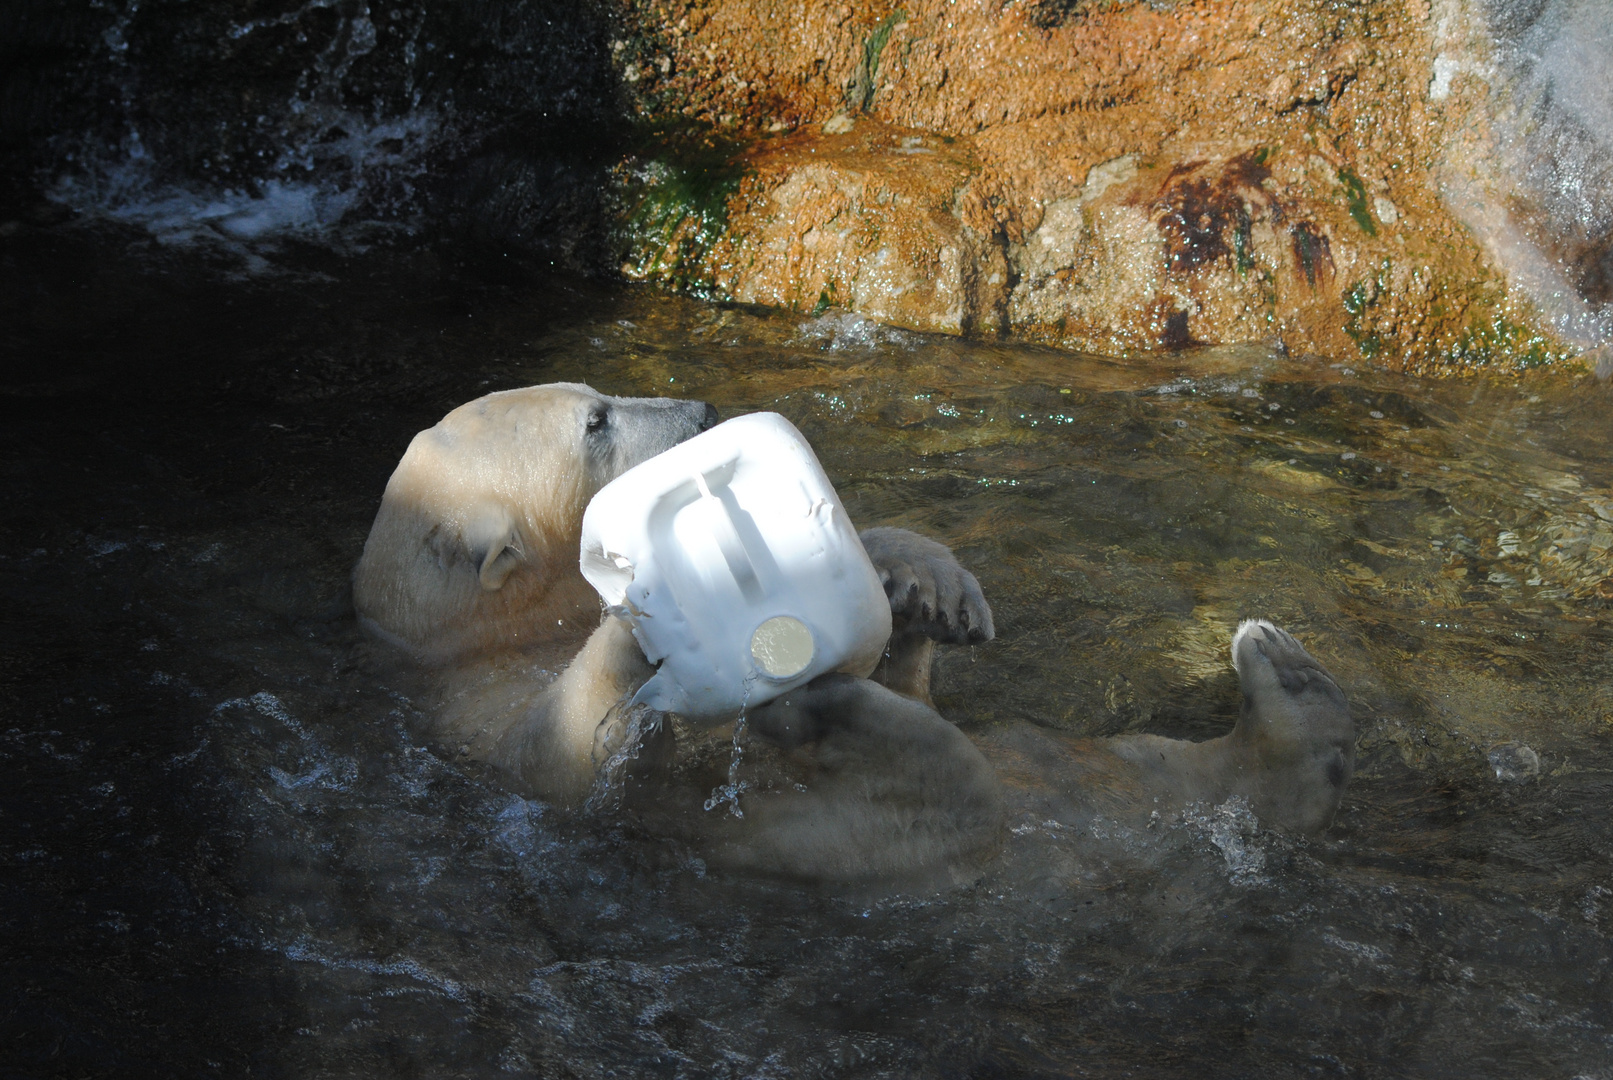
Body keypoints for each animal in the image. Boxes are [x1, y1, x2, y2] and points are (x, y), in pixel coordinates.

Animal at [356, 385, 1361, 883]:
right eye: (596, 423)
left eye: (596, 390)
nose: (702, 417)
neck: (490, 639)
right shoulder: (467, 714)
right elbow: (563, 755)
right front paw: (648, 604)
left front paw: (925, 581)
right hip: (838, 842)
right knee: (941, 793)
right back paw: (825, 715)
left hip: (1086, 764)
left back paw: (1292, 682)